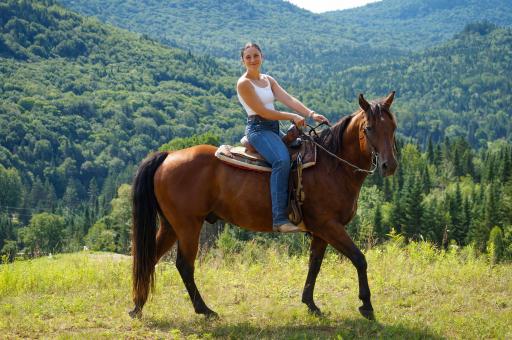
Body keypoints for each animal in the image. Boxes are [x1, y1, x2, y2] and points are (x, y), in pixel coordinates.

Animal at [130, 91, 398, 320]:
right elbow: (359, 258)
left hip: (170, 226)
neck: (332, 165)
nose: (389, 166)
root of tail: (168, 155)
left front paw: (311, 304)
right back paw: (204, 310)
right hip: (188, 226)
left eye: (393, 127)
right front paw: (367, 306)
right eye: (369, 128)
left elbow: (314, 264)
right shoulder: (329, 225)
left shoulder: (321, 231)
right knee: (184, 266)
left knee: (149, 258)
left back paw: (138, 307)